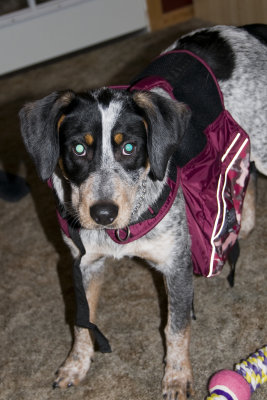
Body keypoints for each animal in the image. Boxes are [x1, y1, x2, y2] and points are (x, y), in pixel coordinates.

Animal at [19, 25, 266, 400]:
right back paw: (244, 224)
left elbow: (175, 328)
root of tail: (249, 30)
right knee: (243, 176)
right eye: (78, 148)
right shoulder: (83, 263)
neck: (120, 233)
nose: (103, 213)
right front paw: (76, 365)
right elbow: (82, 322)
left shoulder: (176, 263)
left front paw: (176, 378)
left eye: (130, 147)